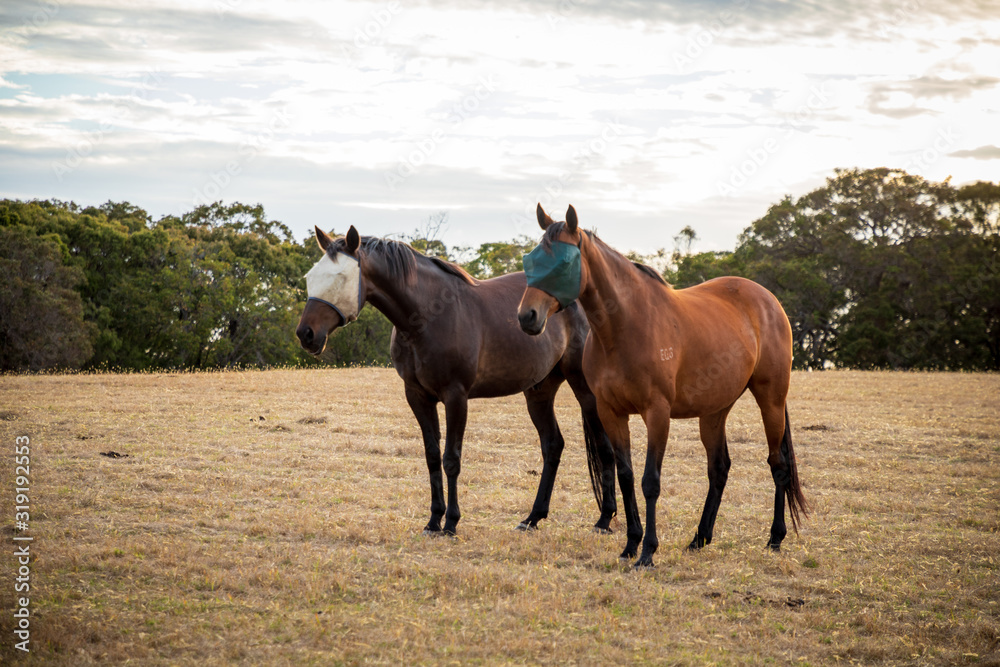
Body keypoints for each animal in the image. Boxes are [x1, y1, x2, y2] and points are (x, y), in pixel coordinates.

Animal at [295, 224, 619, 537]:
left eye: (340, 276)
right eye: (310, 277)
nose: (306, 334)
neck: (428, 315)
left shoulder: (456, 396)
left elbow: (451, 459)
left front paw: (450, 523)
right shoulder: (417, 396)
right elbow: (431, 456)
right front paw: (432, 521)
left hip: (584, 389)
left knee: (605, 448)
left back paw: (604, 520)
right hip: (539, 391)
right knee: (553, 445)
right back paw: (532, 518)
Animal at [517, 204, 807, 568]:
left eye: (563, 262)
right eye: (531, 258)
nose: (526, 316)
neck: (625, 327)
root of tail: (769, 301)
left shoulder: (657, 414)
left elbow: (650, 482)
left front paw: (648, 552)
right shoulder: (611, 413)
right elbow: (627, 476)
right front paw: (631, 544)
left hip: (770, 399)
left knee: (778, 465)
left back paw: (775, 538)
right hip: (715, 411)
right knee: (719, 469)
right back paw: (700, 538)